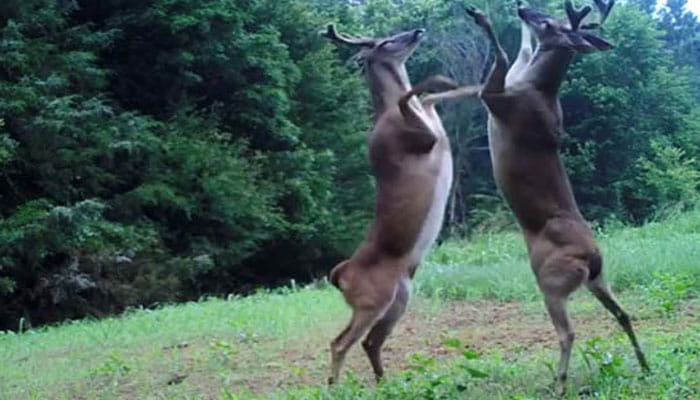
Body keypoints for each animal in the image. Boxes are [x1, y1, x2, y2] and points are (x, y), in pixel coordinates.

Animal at [322, 24, 481, 385]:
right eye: (384, 42)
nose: (417, 30)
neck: (385, 115)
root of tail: (340, 275)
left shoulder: (434, 124)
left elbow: (427, 97)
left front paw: (472, 85)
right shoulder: (420, 138)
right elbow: (410, 96)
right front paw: (442, 79)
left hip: (399, 299)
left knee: (368, 342)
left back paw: (385, 382)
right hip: (372, 299)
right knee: (340, 342)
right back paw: (335, 386)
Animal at [463, 0, 649, 394]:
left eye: (550, 24)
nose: (524, 9)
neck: (536, 88)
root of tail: (592, 257)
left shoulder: (496, 98)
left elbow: (503, 56)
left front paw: (483, 17)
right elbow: (520, 52)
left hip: (551, 280)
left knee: (568, 332)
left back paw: (559, 384)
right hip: (599, 279)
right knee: (624, 314)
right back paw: (644, 365)